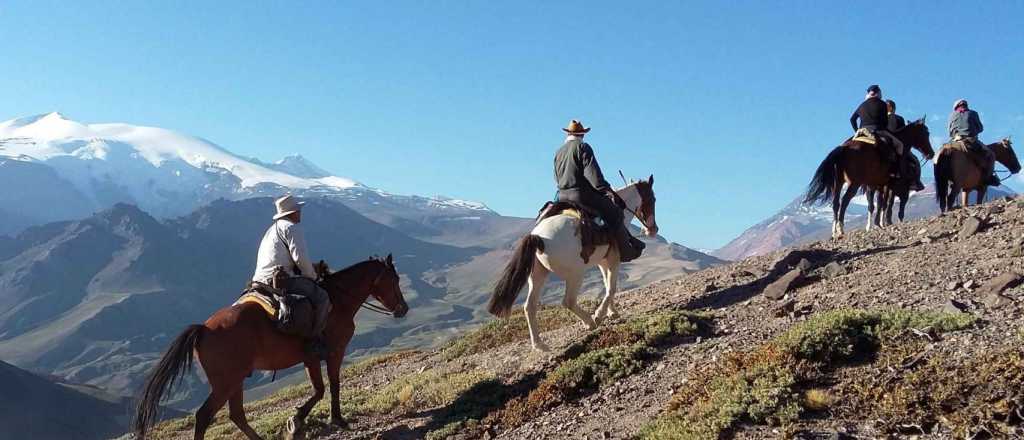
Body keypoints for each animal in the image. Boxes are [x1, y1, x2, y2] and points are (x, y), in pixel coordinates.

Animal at [132, 254, 407, 440]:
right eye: (394, 279)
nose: (403, 309)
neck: (337, 302)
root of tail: (204, 329)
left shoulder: (310, 359)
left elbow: (321, 388)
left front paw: (299, 422)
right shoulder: (330, 352)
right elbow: (329, 386)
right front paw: (318, 420)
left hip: (235, 380)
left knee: (236, 414)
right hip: (225, 383)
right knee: (204, 416)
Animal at [485, 174, 655, 349]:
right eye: (653, 199)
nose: (653, 229)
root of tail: (539, 237)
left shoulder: (603, 262)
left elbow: (607, 284)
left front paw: (612, 312)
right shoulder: (613, 260)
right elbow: (611, 289)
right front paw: (600, 314)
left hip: (538, 275)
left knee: (529, 306)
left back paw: (540, 344)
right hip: (576, 274)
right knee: (568, 301)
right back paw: (590, 322)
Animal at [802, 118, 937, 238]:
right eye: (926, 133)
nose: (931, 153)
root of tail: (843, 148)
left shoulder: (876, 185)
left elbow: (876, 204)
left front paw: (875, 225)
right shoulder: (889, 184)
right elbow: (886, 204)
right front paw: (882, 223)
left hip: (839, 182)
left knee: (836, 202)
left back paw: (835, 231)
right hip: (854, 183)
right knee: (845, 201)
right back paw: (841, 229)